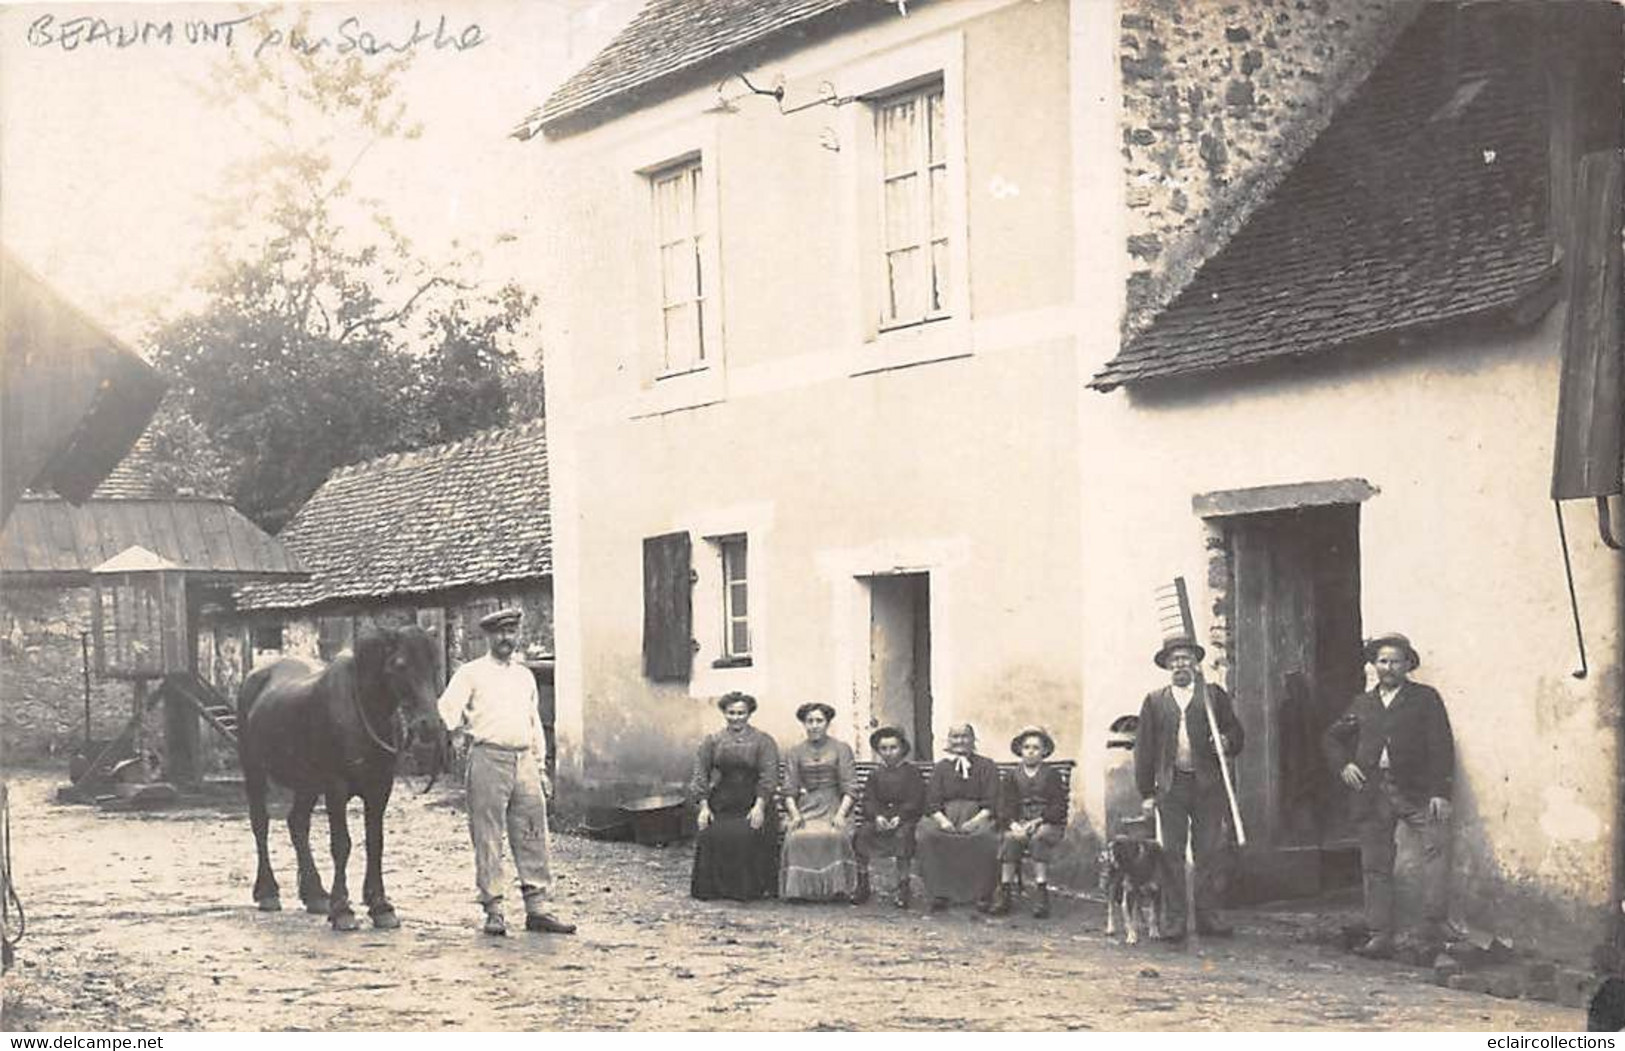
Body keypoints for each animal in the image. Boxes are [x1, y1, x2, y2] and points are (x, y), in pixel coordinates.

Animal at [237, 623, 445, 929]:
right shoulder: (336, 787)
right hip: (255, 773)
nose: (428, 725)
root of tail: (255, 677)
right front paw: (342, 910)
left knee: (297, 824)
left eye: (435, 665)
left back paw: (314, 895)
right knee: (261, 826)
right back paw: (268, 893)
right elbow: (341, 844)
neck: (361, 711)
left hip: (307, 785)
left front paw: (380, 906)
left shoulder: (380, 787)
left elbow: (375, 842)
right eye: (400, 664)